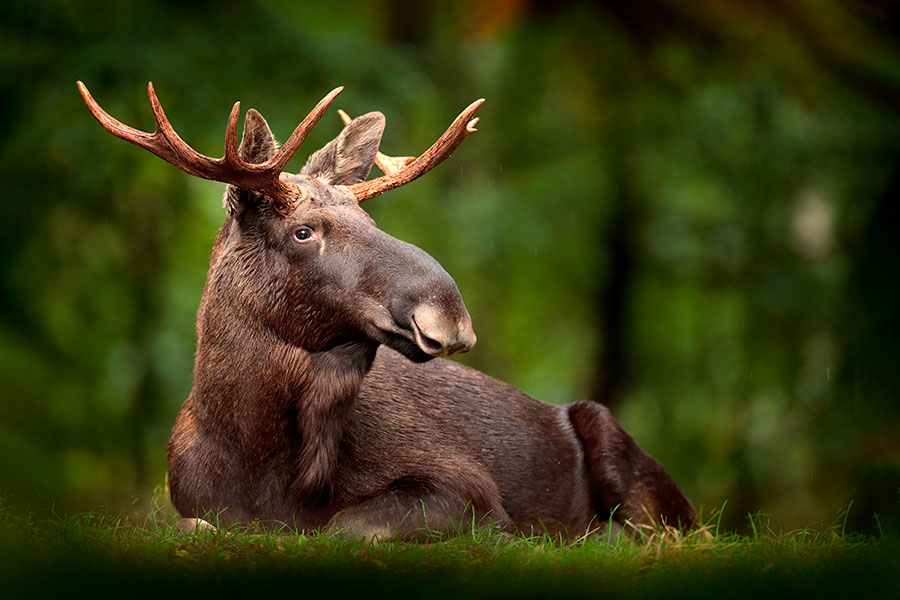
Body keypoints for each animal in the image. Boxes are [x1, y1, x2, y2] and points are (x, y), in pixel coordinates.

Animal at [77, 81, 696, 540]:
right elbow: (196, 525)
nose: (449, 314)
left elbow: (348, 526)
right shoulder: (186, 504)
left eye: (370, 221)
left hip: (622, 449)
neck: (258, 455)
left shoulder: (466, 485)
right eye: (304, 231)